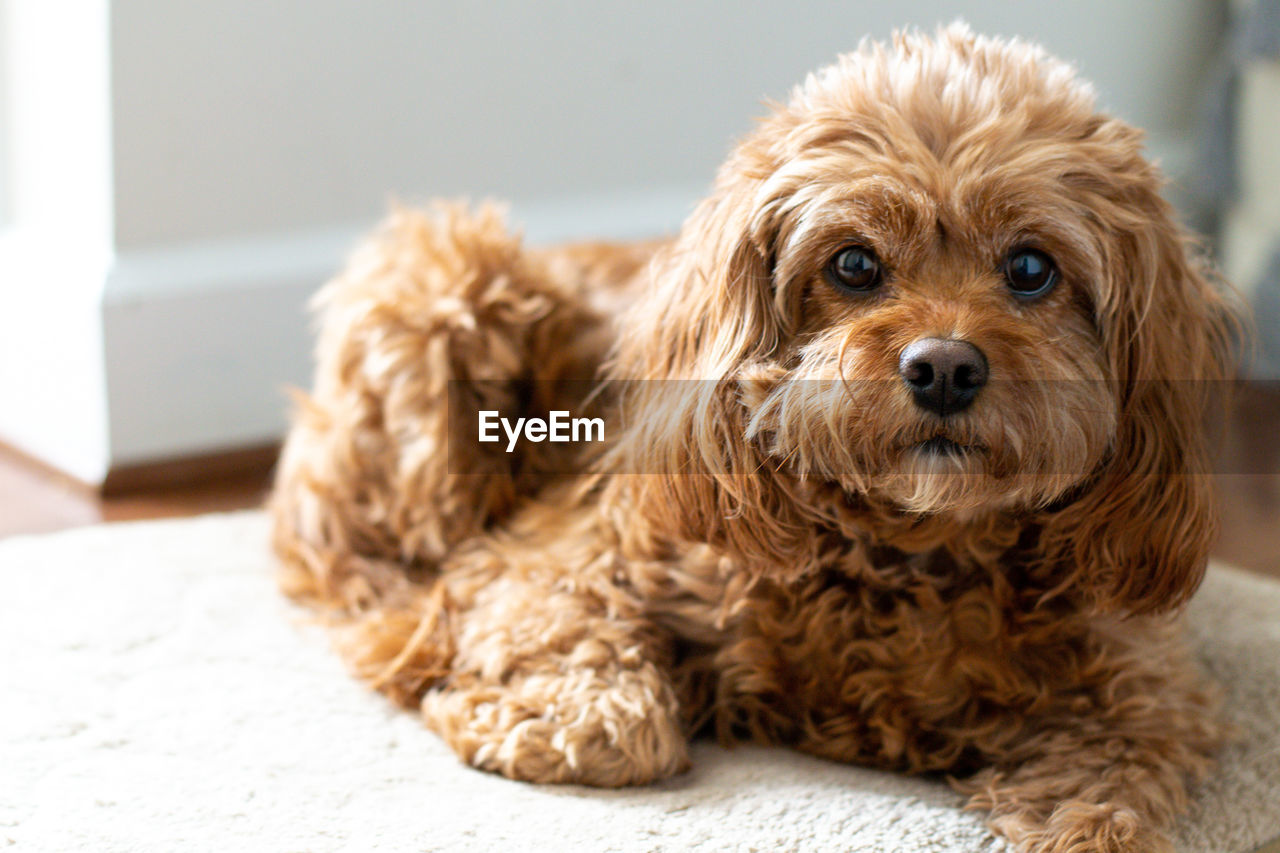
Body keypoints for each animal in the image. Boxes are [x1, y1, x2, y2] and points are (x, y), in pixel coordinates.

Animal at [272, 23, 1239, 845]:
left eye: (1032, 268)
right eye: (854, 263)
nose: (943, 367)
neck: (908, 549)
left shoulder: (1143, 677)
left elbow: (1112, 792)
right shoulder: (557, 550)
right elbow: (592, 702)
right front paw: (568, 714)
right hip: (447, 286)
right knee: (352, 565)